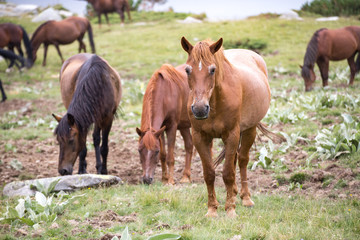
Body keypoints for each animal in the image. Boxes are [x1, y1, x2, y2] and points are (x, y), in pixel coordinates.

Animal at [181, 37, 278, 218]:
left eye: (212, 70)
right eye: (187, 70)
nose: (199, 109)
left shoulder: (232, 134)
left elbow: (228, 173)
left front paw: (230, 210)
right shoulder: (199, 137)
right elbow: (209, 173)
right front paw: (212, 209)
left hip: (249, 130)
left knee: (242, 160)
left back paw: (246, 198)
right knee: (233, 160)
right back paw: (233, 193)